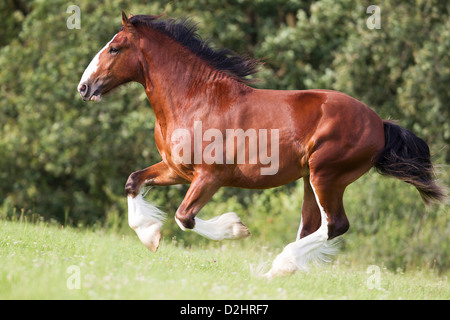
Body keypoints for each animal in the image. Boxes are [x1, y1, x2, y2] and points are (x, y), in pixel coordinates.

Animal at [76, 11, 442, 278]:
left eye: (114, 48)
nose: (84, 87)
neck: (194, 99)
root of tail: (379, 123)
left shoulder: (210, 176)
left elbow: (184, 217)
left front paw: (235, 229)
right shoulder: (175, 169)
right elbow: (133, 182)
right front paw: (150, 235)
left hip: (327, 176)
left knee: (336, 225)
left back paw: (280, 266)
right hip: (310, 179)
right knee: (313, 225)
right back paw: (280, 271)